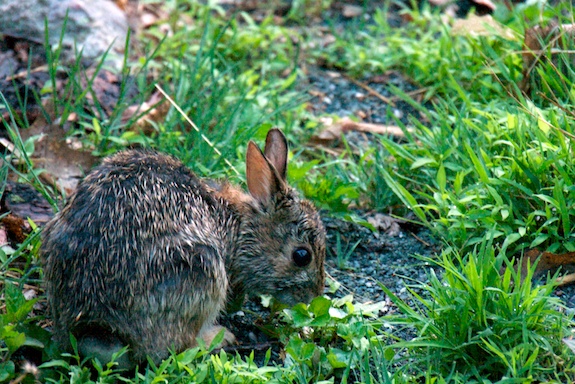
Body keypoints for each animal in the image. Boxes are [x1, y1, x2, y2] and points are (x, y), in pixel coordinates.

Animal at [40, 129, 326, 368]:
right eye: (302, 256)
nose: (314, 296)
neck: (239, 226)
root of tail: (95, 327)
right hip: (201, 270)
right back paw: (219, 337)